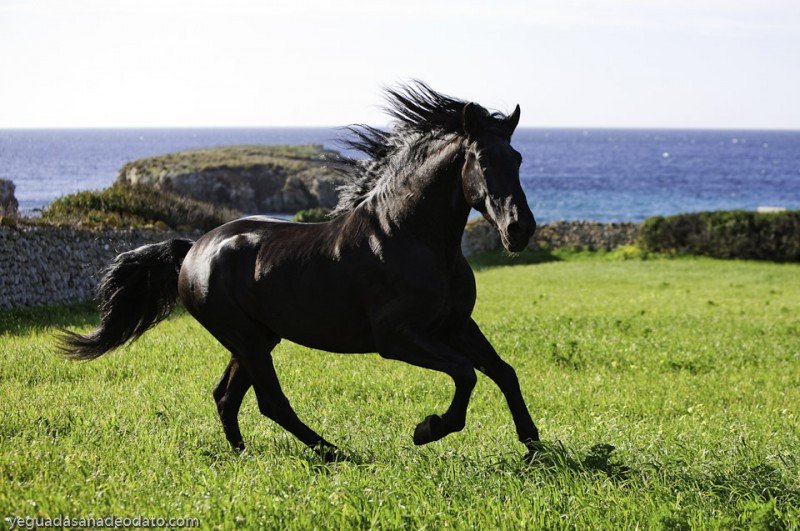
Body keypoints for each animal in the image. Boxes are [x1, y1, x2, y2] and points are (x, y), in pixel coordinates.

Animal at [59, 83, 540, 462]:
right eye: (481, 160)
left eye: (517, 158)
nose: (519, 229)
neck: (411, 237)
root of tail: (193, 249)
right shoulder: (397, 337)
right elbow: (466, 373)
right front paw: (428, 429)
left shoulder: (456, 325)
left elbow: (503, 372)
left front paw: (536, 447)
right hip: (247, 339)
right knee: (270, 401)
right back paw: (334, 452)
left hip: (255, 337)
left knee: (226, 396)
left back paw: (245, 453)